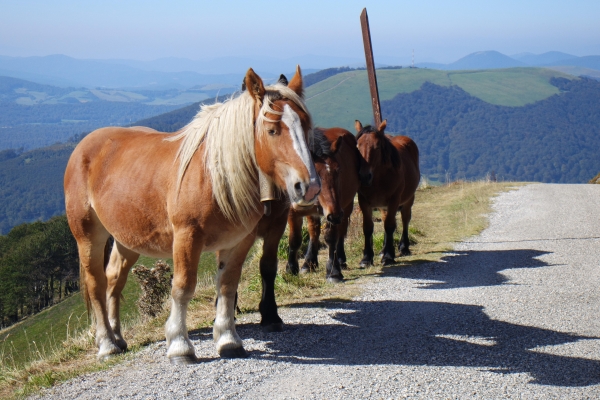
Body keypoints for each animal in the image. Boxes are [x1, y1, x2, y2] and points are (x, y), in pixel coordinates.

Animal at [63, 66, 322, 362]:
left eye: (305, 125)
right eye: (272, 130)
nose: (309, 186)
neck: (214, 176)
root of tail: (85, 145)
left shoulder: (238, 240)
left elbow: (227, 285)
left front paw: (228, 339)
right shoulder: (187, 237)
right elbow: (183, 287)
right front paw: (179, 344)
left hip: (126, 238)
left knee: (114, 279)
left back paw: (117, 336)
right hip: (88, 236)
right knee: (96, 284)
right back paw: (106, 344)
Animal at [354, 120, 420, 268]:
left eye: (377, 146)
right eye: (357, 146)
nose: (364, 176)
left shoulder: (394, 200)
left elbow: (390, 226)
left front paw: (389, 256)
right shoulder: (364, 202)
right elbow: (368, 228)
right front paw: (366, 258)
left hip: (408, 199)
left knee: (405, 219)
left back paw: (403, 248)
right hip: (382, 206)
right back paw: (383, 250)